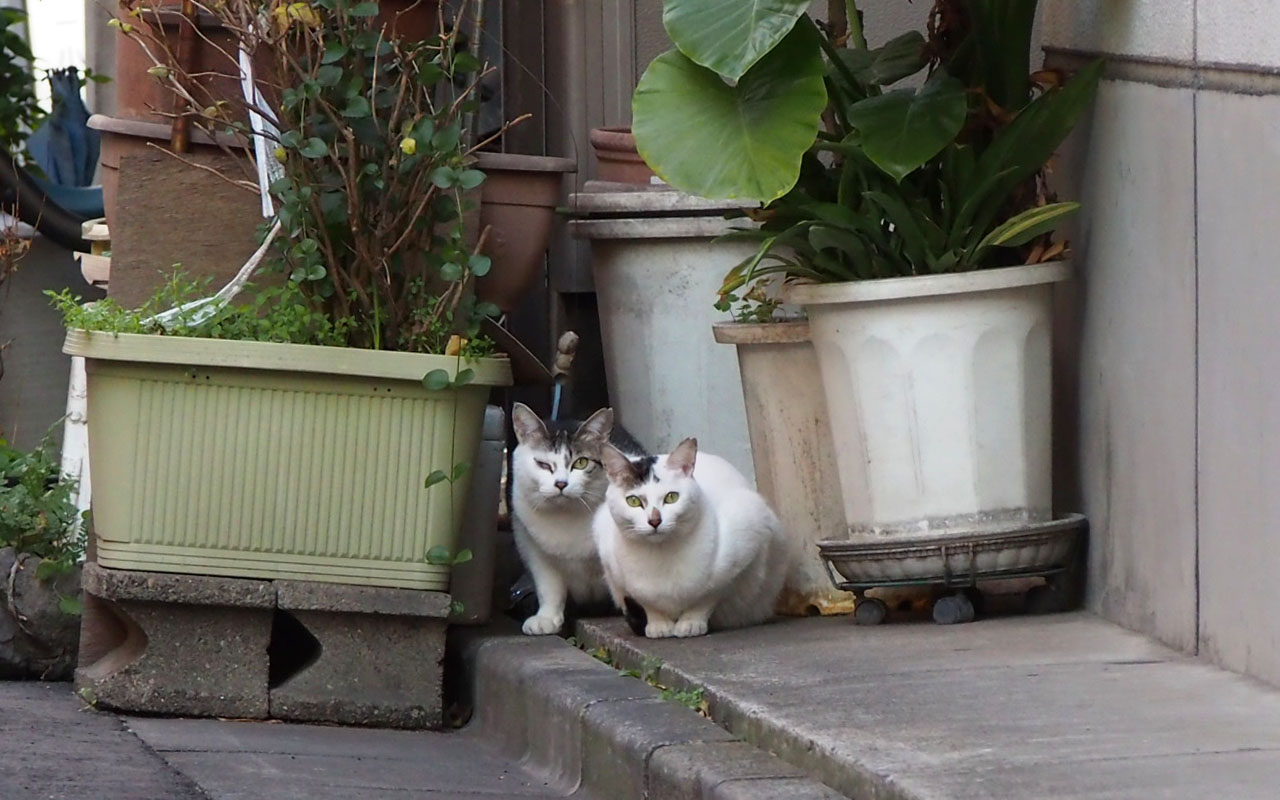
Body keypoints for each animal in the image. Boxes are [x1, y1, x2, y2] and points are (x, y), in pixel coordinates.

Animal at [509, 401, 645, 632]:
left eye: (581, 463)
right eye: (543, 464)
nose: (561, 484)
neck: (567, 514)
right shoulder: (534, 551)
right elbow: (549, 588)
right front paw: (546, 618)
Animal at [591, 437, 788, 637]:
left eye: (671, 497)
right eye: (633, 501)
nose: (654, 520)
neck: (661, 555)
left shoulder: (740, 555)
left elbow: (707, 598)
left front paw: (691, 623)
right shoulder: (616, 571)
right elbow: (646, 603)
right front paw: (658, 624)